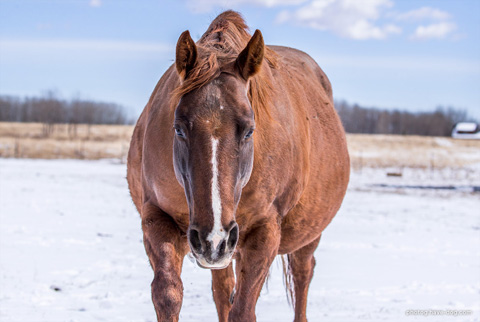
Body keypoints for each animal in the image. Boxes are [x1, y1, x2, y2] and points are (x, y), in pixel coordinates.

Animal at [126, 10, 348, 322]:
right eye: (178, 128)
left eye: (249, 130)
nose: (213, 237)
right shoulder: (158, 217)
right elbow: (168, 295)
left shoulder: (265, 232)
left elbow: (243, 310)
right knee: (222, 289)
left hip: (300, 236)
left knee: (302, 275)